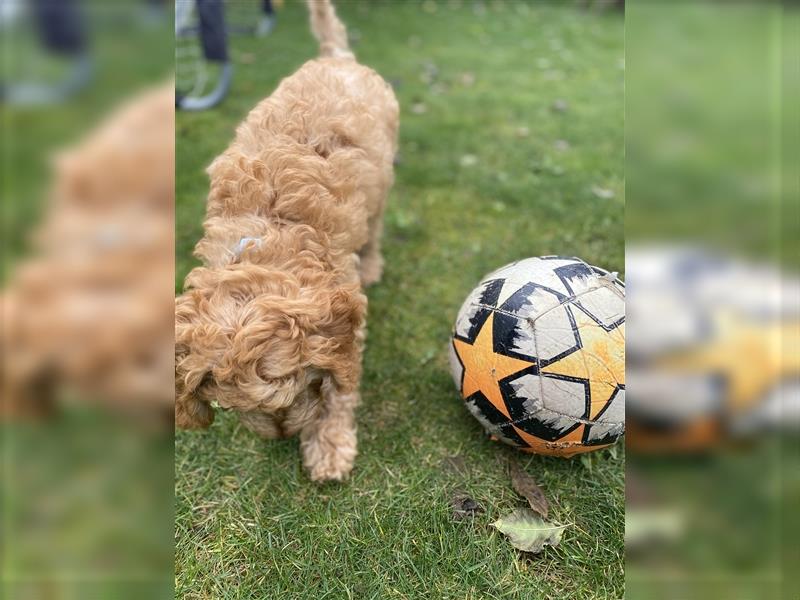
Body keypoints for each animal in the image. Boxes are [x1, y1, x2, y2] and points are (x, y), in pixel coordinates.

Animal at [177, 0, 398, 480]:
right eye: (225, 404)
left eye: (299, 387)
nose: (280, 434)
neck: (266, 241)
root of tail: (336, 57)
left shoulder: (345, 304)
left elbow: (343, 381)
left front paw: (329, 444)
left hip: (383, 177)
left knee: (375, 225)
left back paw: (374, 263)